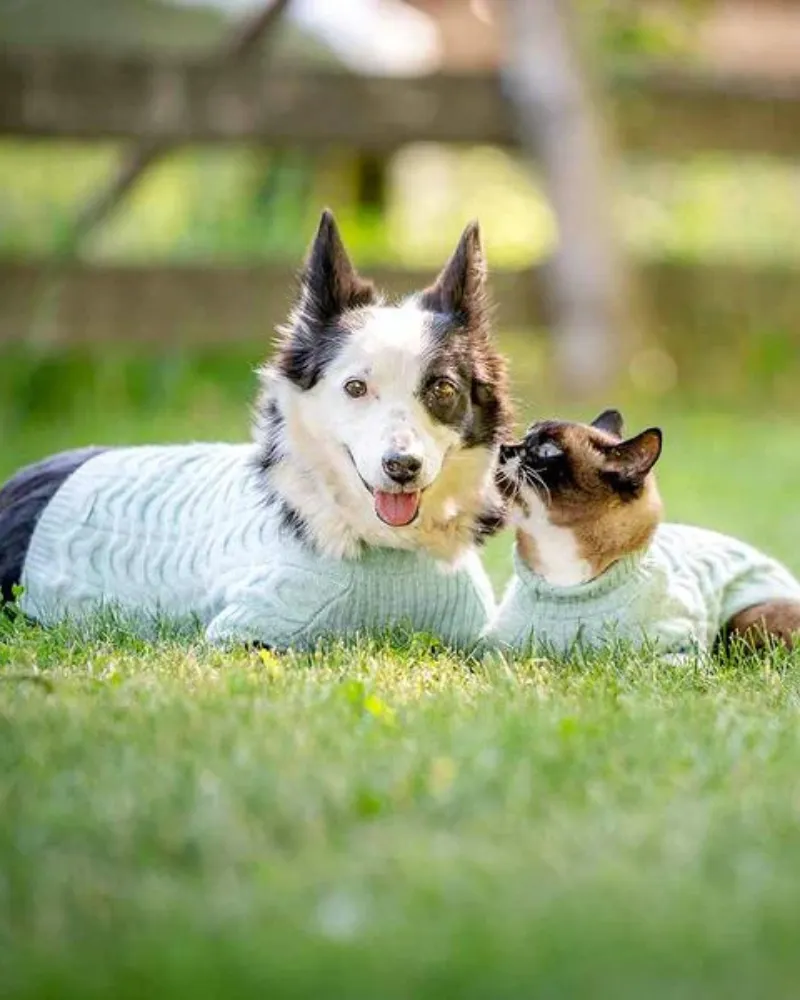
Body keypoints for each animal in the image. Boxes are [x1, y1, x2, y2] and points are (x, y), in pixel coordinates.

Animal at [490, 410, 800, 660]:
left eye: (546, 451)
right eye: (526, 437)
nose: (504, 447)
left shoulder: (678, 656)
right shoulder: (497, 650)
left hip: (745, 622)